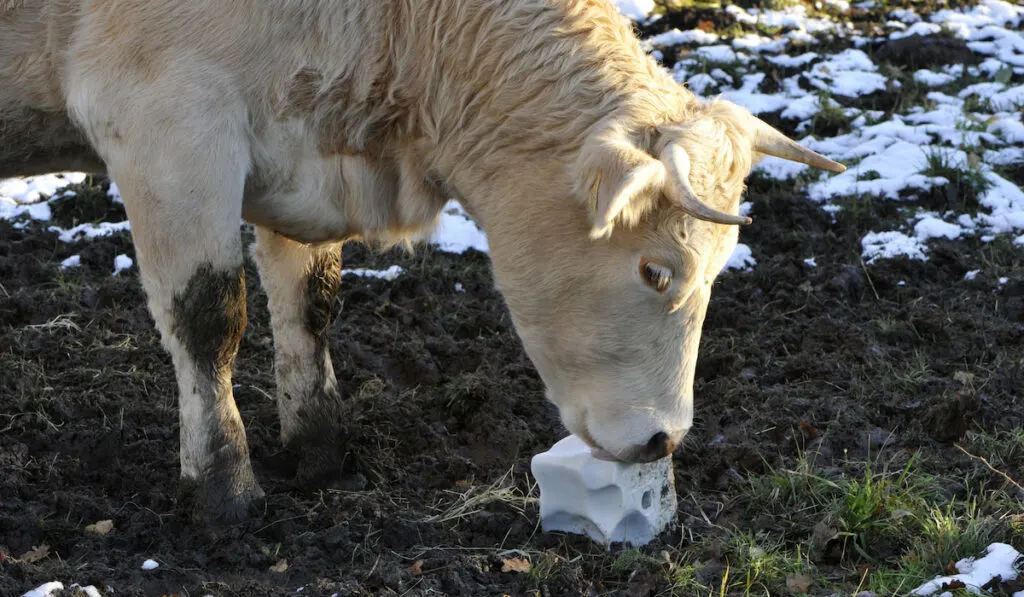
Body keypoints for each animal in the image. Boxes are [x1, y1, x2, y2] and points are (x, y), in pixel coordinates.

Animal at [4, 0, 843, 524]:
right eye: (657, 270)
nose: (663, 439)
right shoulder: (168, 121)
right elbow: (209, 316)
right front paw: (225, 488)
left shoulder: (297, 145)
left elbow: (310, 302)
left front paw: (320, 450)